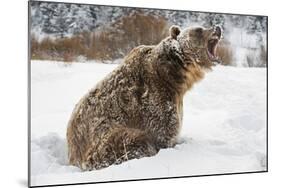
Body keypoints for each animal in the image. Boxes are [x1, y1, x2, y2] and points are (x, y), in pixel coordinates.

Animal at [65, 24, 221, 170]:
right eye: (199, 30)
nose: (217, 28)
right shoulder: (154, 98)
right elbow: (163, 131)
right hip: (102, 139)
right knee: (134, 141)